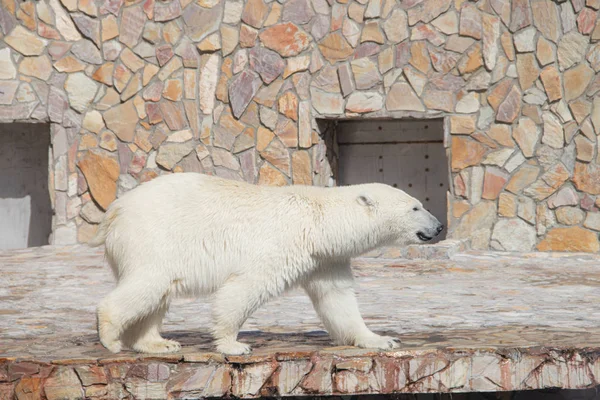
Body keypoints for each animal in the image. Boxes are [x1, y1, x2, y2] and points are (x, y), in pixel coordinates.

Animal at [90, 173, 446, 354]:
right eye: (416, 207)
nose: (439, 226)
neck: (318, 222)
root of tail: (113, 212)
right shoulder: (280, 245)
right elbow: (244, 289)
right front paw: (233, 345)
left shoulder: (324, 259)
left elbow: (337, 300)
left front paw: (381, 339)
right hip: (154, 238)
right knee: (149, 284)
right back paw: (111, 339)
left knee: (158, 294)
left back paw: (158, 343)